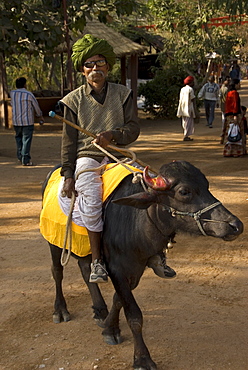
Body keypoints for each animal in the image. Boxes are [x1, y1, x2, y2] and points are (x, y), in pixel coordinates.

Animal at [42, 161, 242, 370]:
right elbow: (134, 315)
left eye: (207, 185)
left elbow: (118, 299)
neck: (138, 221)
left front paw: (109, 327)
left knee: (85, 268)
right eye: (184, 191)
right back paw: (60, 310)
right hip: (54, 240)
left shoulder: (136, 270)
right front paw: (142, 358)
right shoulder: (117, 270)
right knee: (57, 271)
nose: (236, 225)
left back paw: (99, 309)